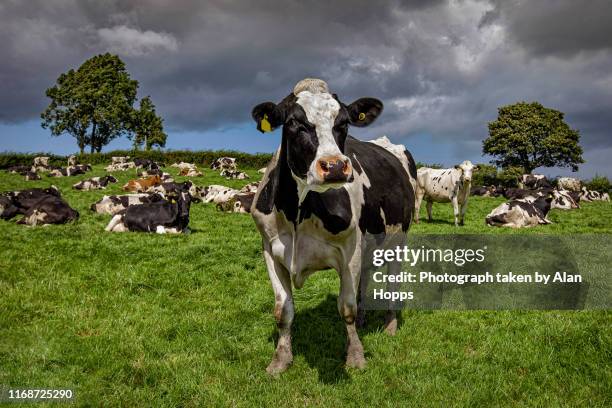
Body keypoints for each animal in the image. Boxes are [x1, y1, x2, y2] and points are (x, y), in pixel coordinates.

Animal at [249, 78, 416, 374]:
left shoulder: (349, 250)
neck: (298, 212)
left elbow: (346, 308)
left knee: (392, 282)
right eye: (295, 122)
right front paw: (280, 360)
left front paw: (356, 356)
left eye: (343, 123)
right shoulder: (271, 250)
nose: (336, 166)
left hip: (399, 239)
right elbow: (283, 310)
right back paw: (364, 319)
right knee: (365, 279)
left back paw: (390, 324)